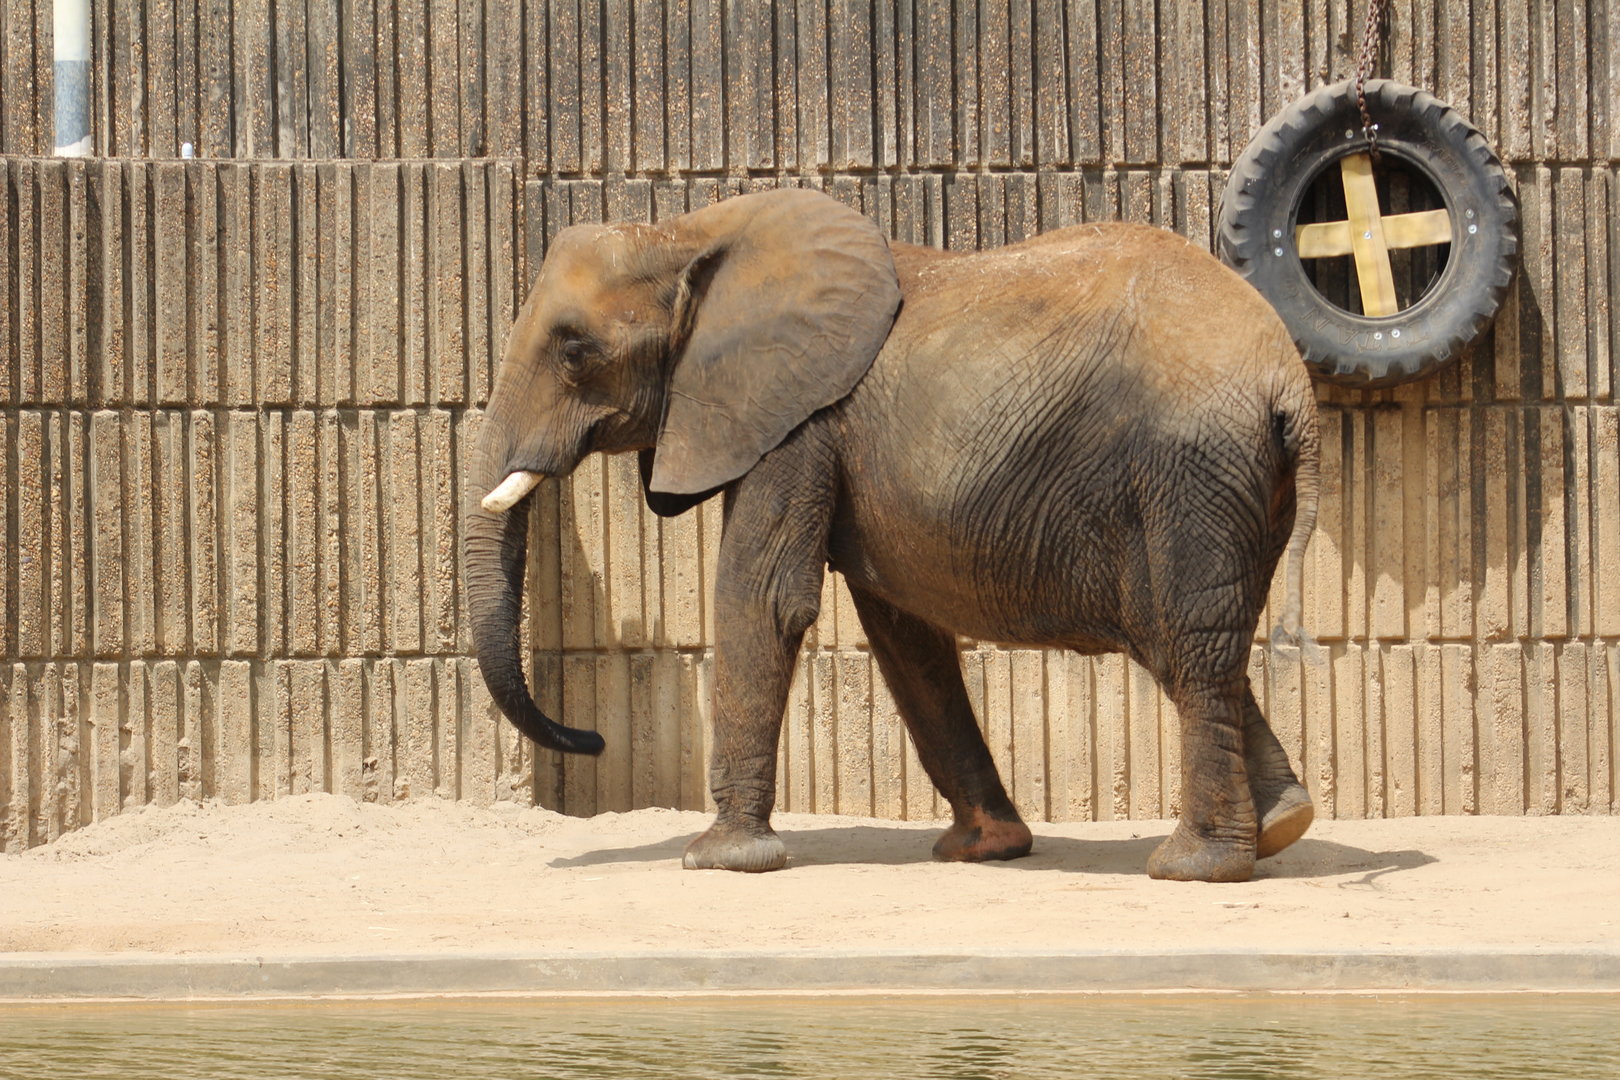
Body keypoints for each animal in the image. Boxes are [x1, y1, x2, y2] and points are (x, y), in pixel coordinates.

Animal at [464, 188, 1320, 884]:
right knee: (1183, 640)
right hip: (1225, 482)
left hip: (1190, 470)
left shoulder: (795, 419)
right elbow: (904, 631)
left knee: (1190, 643)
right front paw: (984, 850)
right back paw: (1284, 825)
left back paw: (1195, 866)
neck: (684, 231)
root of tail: (1290, 383)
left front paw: (721, 860)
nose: (593, 739)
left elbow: (763, 599)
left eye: (575, 351)